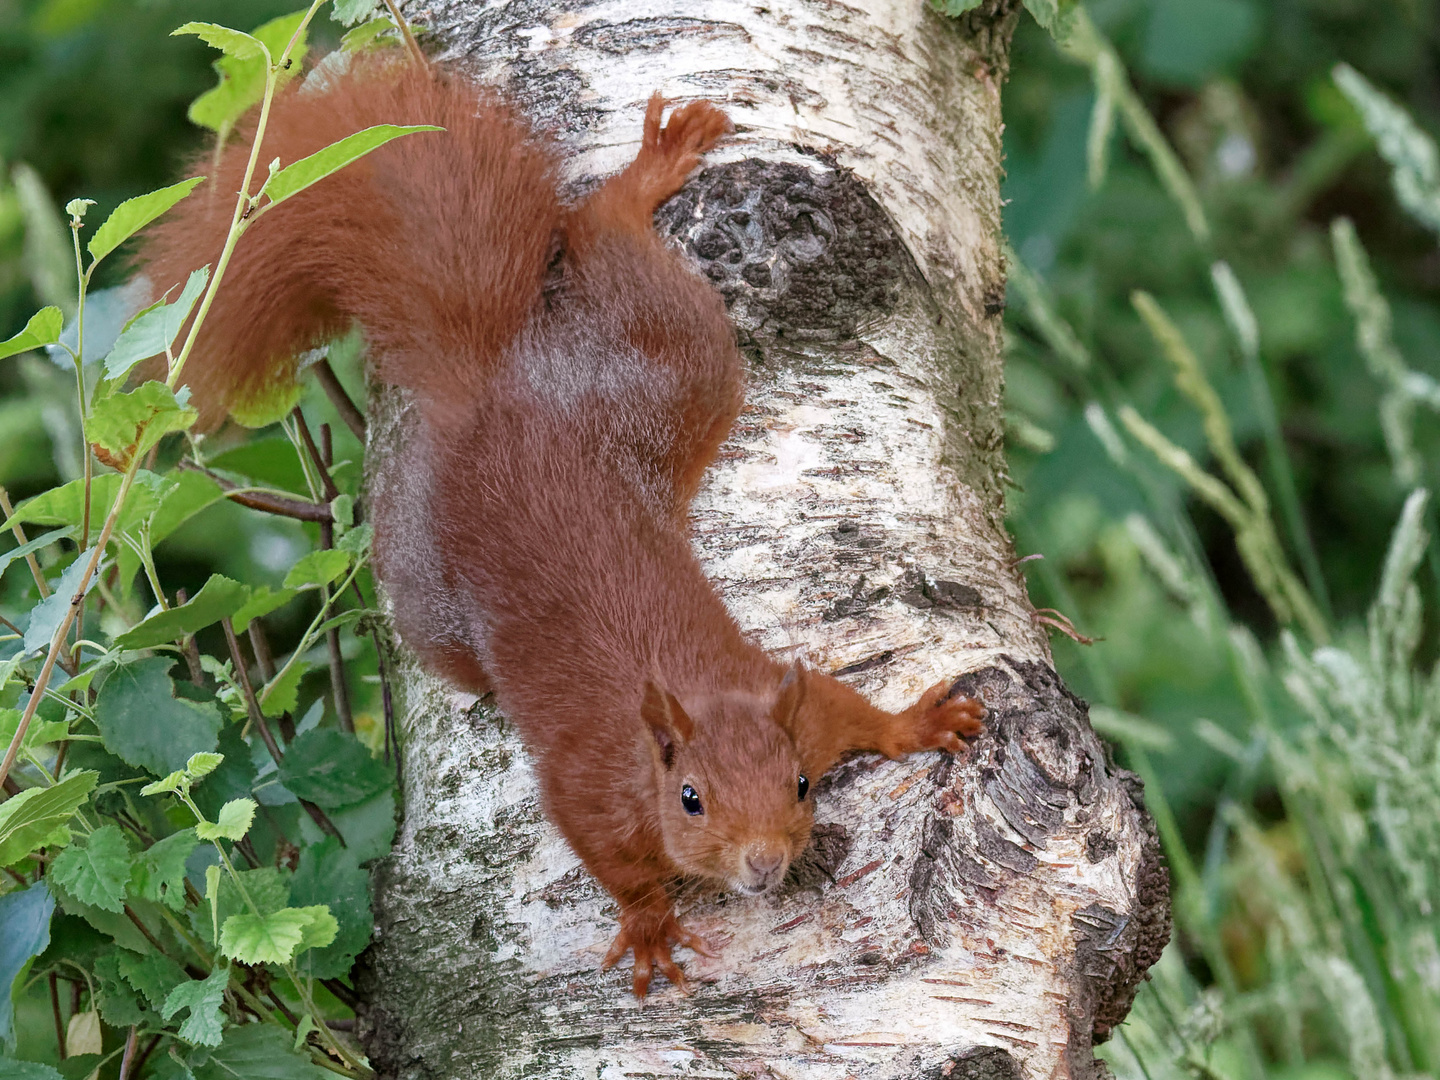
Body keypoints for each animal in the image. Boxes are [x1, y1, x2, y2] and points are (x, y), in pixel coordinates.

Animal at [140, 57, 984, 996]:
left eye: (802, 784)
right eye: (690, 798)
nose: (765, 864)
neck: (677, 716)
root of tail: (493, 390)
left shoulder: (786, 698)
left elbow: (848, 709)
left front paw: (919, 725)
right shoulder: (591, 790)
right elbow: (611, 861)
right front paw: (650, 925)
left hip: (662, 374)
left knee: (607, 246)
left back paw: (650, 172)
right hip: (451, 562)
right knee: (595, 232)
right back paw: (641, 179)